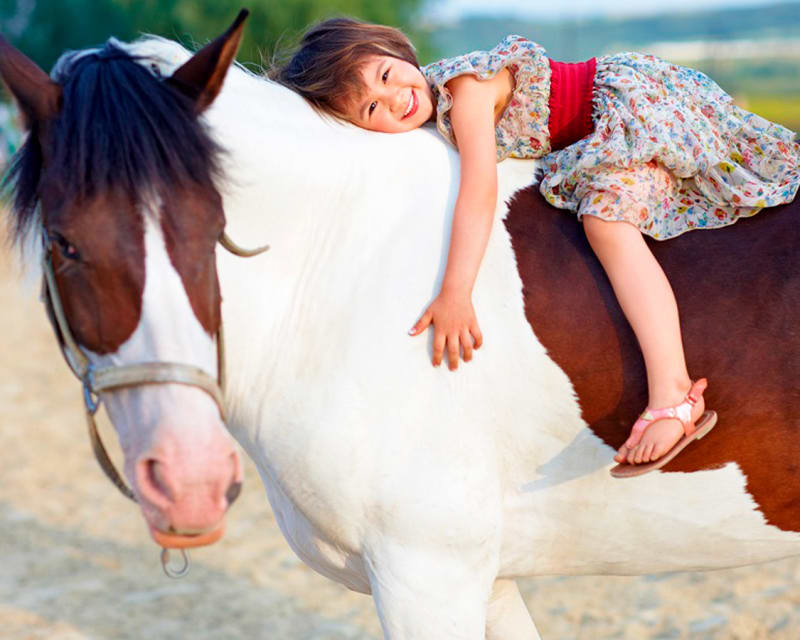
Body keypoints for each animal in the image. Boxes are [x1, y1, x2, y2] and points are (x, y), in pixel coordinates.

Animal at [1, 10, 800, 640]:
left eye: (213, 225)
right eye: (65, 244)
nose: (187, 481)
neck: (338, 267)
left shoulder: (428, 574)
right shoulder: (484, 578)